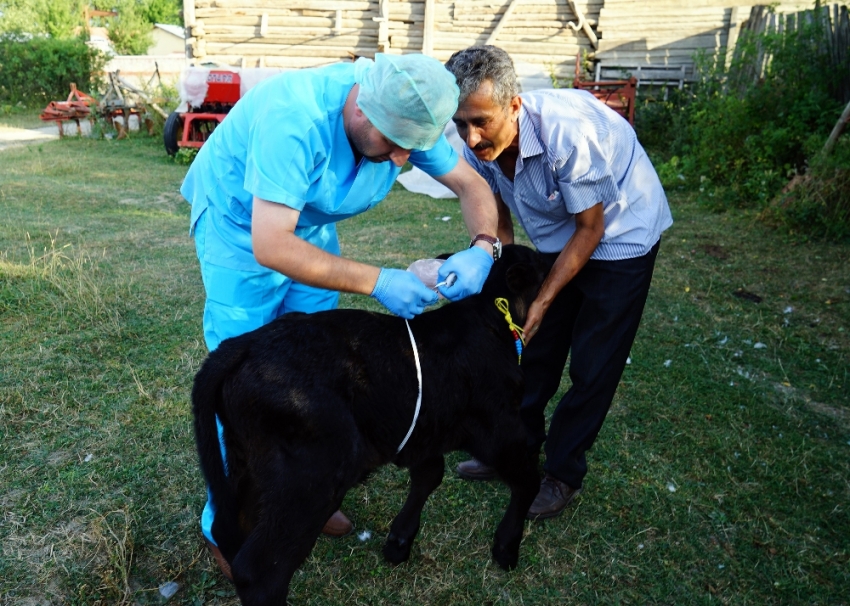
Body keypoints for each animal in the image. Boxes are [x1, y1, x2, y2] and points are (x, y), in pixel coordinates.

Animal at [191, 245, 548, 604]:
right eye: (537, 262)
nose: (551, 257)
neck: (490, 318)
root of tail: (243, 344)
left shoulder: (424, 430)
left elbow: (430, 474)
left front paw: (398, 542)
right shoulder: (501, 430)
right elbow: (528, 480)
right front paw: (506, 548)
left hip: (247, 463)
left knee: (228, 527)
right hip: (313, 475)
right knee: (259, 569)